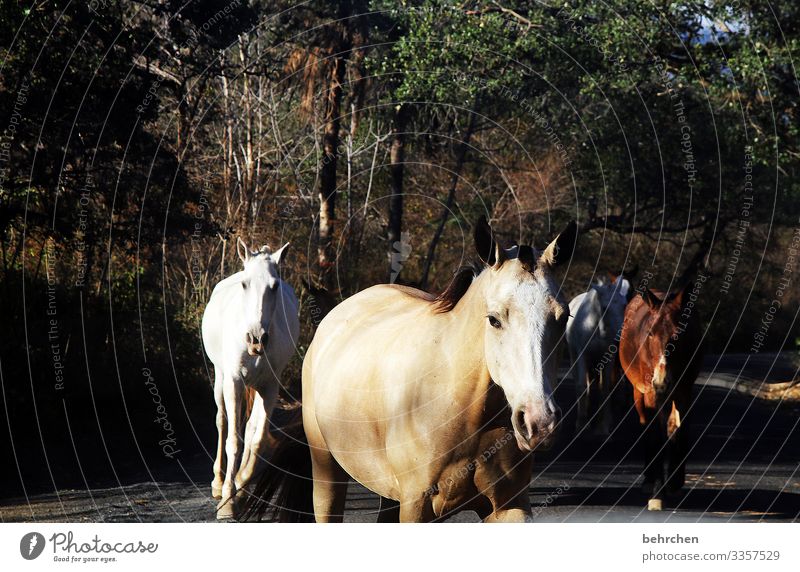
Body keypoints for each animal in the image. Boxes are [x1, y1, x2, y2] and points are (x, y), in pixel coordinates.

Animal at [200, 237, 300, 520]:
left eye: (274, 286)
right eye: (245, 284)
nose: (256, 339)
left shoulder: (270, 388)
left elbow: (256, 439)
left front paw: (241, 488)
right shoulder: (234, 382)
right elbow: (233, 439)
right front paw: (227, 500)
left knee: (250, 428)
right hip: (221, 379)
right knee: (223, 422)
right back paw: (218, 482)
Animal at [247, 219, 580, 524]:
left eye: (563, 317)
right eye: (494, 319)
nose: (539, 422)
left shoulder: (510, 505)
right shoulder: (416, 505)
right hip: (327, 473)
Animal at [568, 272, 632, 434]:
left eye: (624, 305)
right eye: (604, 307)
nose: (621, 335)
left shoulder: (608, 358)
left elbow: (605, 387)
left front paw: (603, 425)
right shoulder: (582, 356)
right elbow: (581, 386)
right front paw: (582, 424)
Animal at [620, 278, 708, 510]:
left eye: (679, 333)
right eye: (650, 333)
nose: (661, 381)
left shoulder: (684, 390)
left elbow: (680, 430)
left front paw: (675, 482)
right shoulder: (652, 393)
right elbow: (656, 434)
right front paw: (658, 492)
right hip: (639, 392)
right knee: (647, 427)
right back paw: (650, 479)